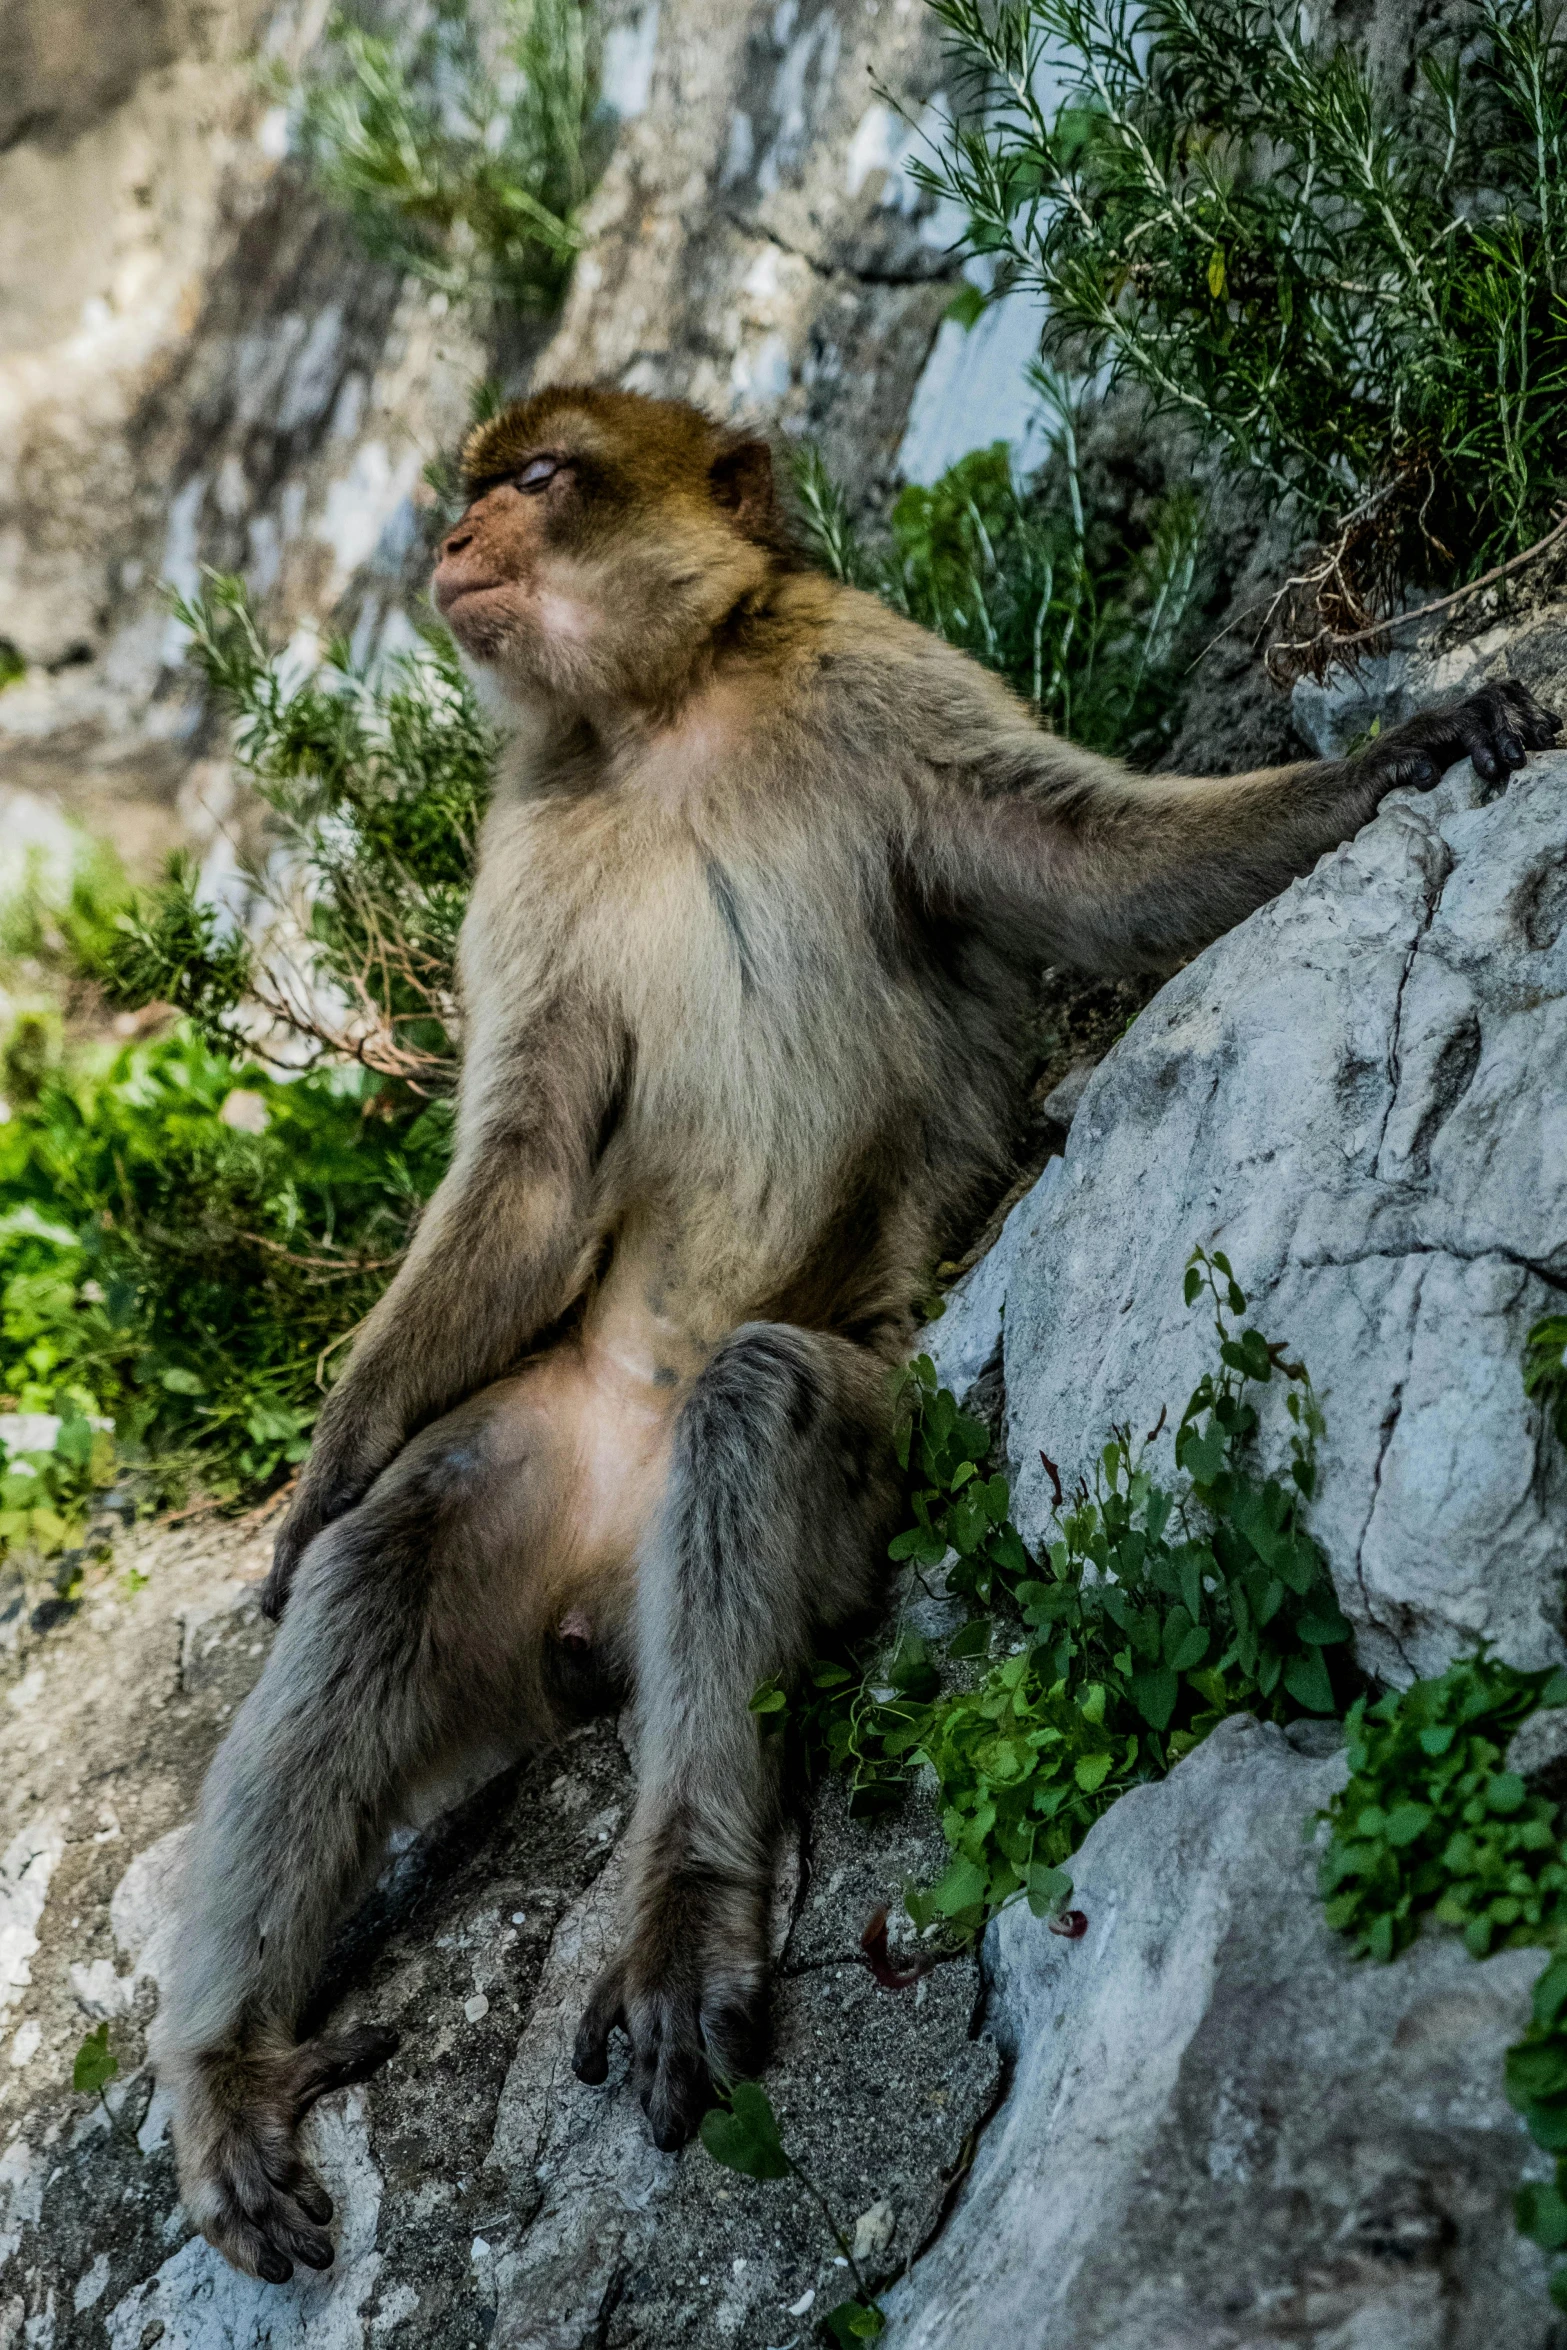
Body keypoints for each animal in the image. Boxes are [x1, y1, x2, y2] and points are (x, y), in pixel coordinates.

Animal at [152, 385, 1559, 2274]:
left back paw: (683, 1905)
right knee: (401, 1553)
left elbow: (1082, 865)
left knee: (754, 1418)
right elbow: (526, 1164)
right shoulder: (526, 834)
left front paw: (1395, 752)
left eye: (538, 480)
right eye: (474, 488)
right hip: (558, 1442)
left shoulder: (869, 671)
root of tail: (604, 1577)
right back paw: (232, 2067)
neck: (662, 714)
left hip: (866, 1406)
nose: (448, 544)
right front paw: (325, 1474)